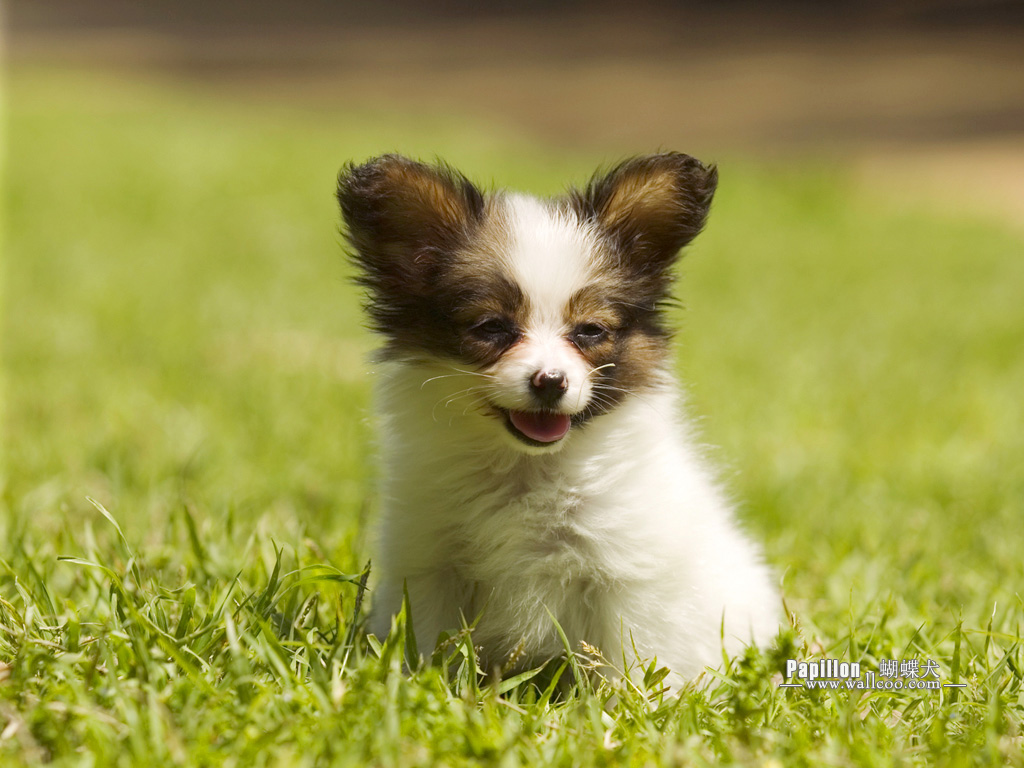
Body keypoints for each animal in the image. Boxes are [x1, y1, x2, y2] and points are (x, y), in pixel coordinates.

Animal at [335, 153, 774, 688]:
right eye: (491, 328)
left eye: (590, 331)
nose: (550, 381)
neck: (526, 471)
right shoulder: (430, 566)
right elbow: (430, 644)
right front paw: (423, 688)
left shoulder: (627, 578)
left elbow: (629, 665)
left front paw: (626, 706)